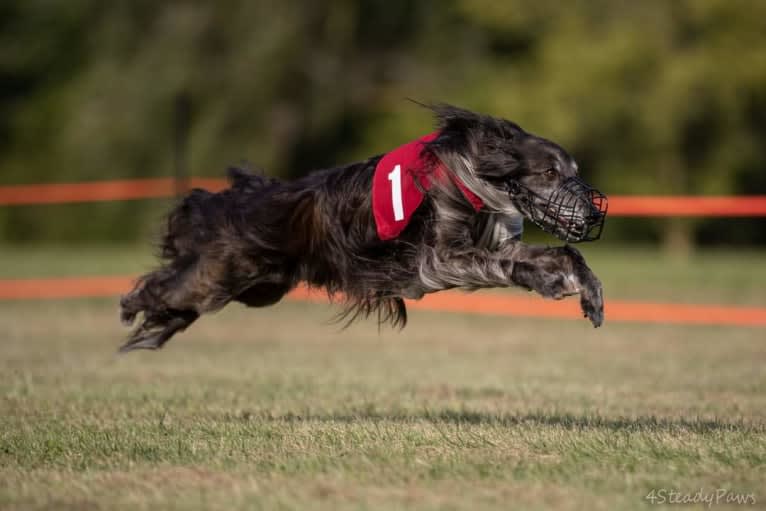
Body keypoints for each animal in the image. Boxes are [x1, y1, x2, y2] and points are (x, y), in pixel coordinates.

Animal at [120, 104, 608, 352]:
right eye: (549, 173)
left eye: (573, 171)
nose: (593, 214)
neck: (470, 173)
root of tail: (232, 200)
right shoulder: (440, 258)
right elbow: (505, 265)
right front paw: (554, 284)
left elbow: (563, 253)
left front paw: (588, 295)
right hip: (218, 276)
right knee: (163, 287)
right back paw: (129, 305)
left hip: (259, 288)